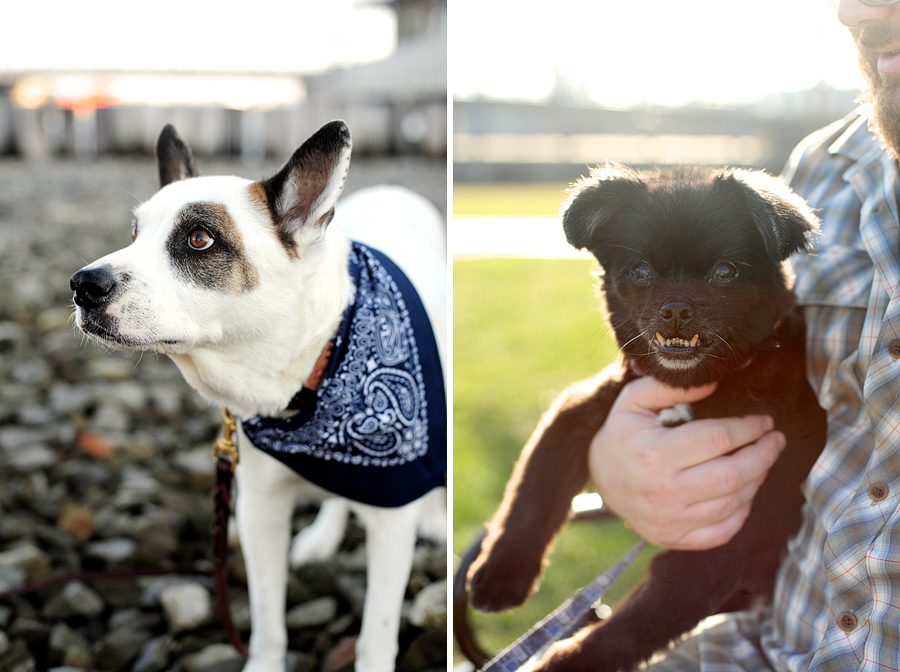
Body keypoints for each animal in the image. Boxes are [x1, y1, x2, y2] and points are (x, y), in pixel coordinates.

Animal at [69, 121, 446, 672]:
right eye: (134, 235)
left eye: (199, 239)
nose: (82, 285)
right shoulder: (259, 510)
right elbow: (268, 616)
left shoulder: (391, 517)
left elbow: (375, 636)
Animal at [468, 164, 828, 672]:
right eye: (640, 272)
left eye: (724, 272)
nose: (675, 309)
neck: (692, 387)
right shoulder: (586, 404)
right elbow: (536, 483)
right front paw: (502, 572)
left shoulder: (726, 536)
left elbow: (640, 620)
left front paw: (570, 659)